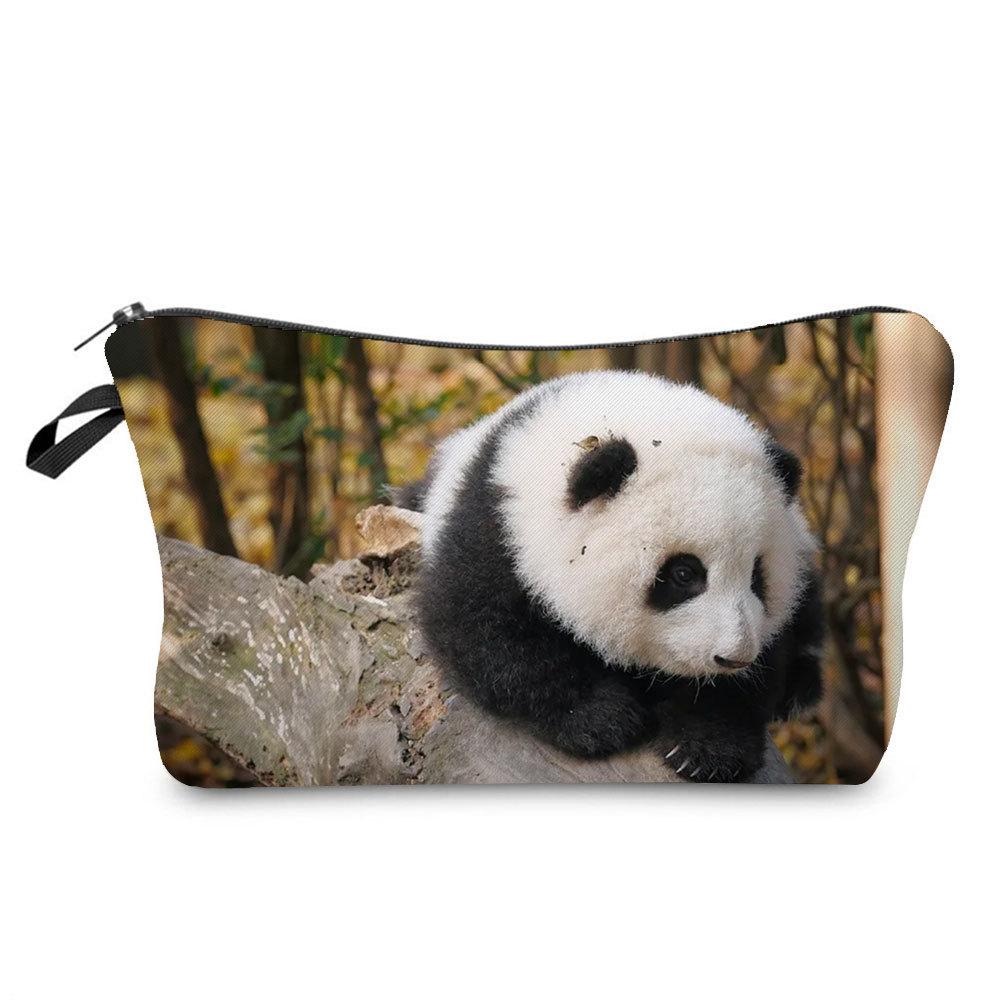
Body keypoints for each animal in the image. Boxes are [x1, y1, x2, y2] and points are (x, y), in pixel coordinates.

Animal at [396, 369, 824, 782]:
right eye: (684, 573)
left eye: (757, 575)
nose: (732, 657)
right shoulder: (495, 524)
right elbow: (484, 628)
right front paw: (601, 717)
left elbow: (762, 666)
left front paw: (706, 747)